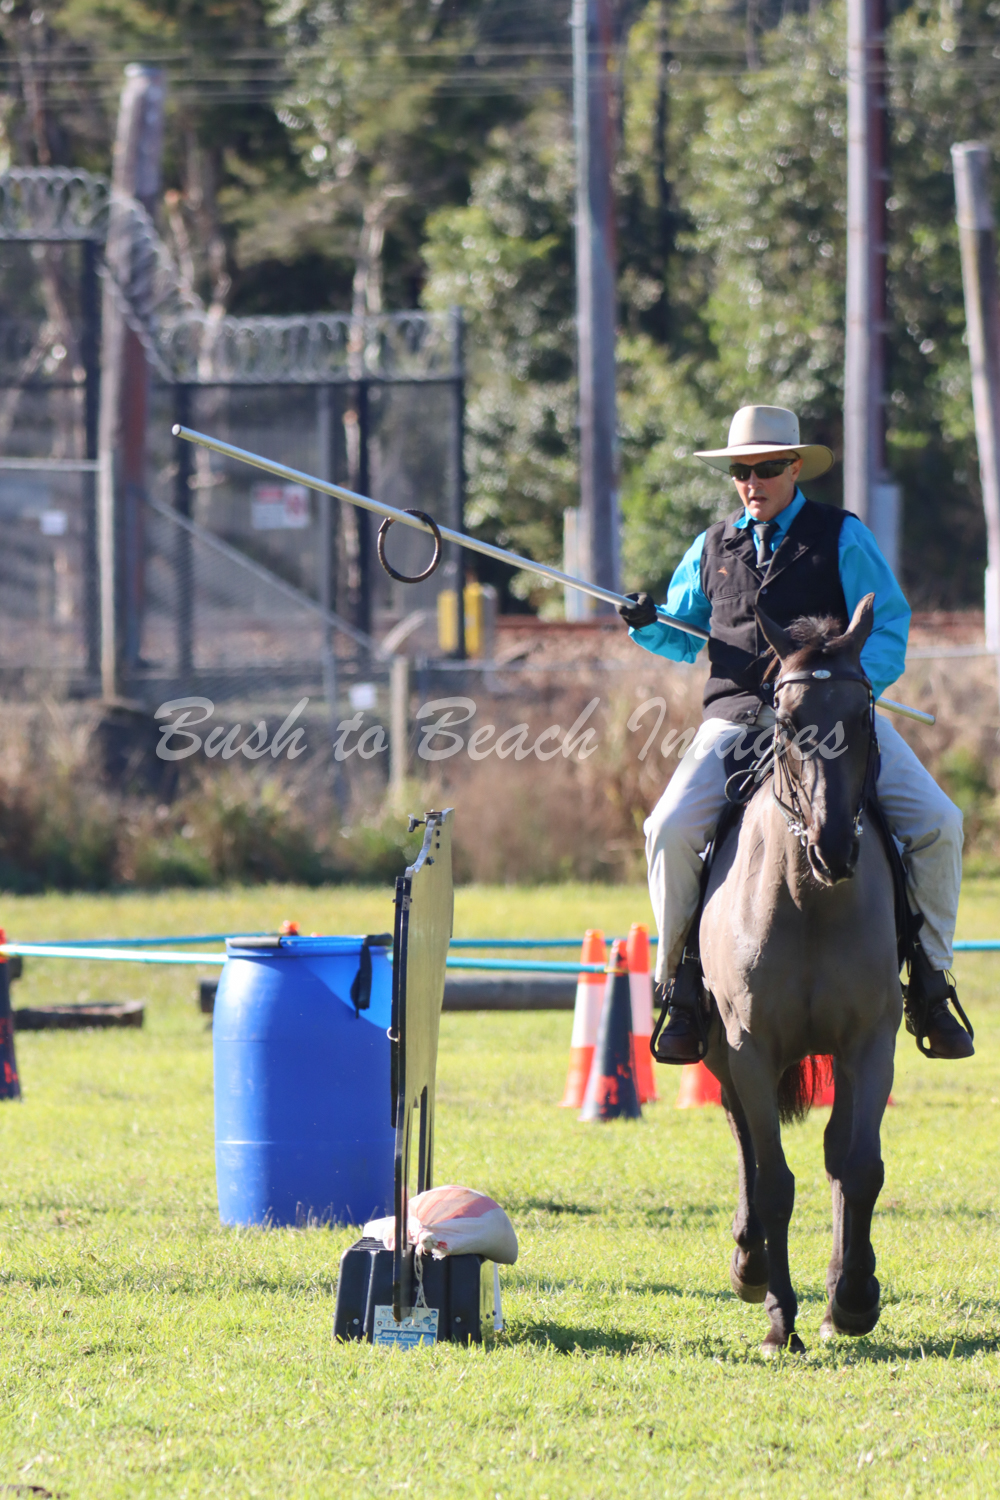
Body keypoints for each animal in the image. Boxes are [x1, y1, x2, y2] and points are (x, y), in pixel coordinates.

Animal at [699, 593, 900, 1354]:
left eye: (862, 715)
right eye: (786, 723)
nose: (834, 845)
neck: (808, 898)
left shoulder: (871, 1042)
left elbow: (857, 1164)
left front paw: (852, 1299)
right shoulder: (749, 1047)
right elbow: (774, 1178)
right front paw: (779, 1313)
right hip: (717, 1049)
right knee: (744, 1142)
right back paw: (750, 1262)